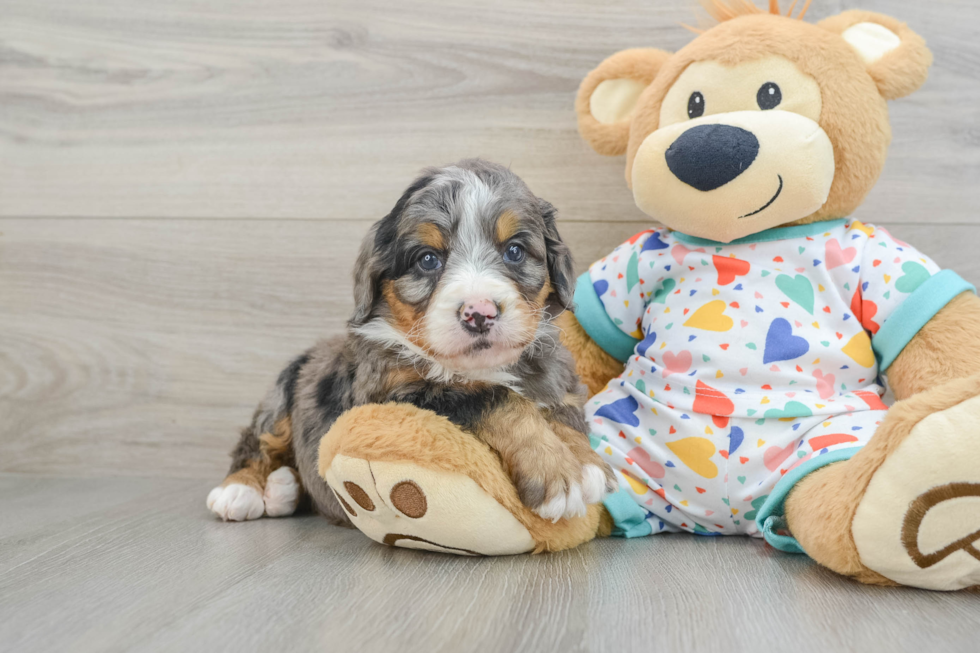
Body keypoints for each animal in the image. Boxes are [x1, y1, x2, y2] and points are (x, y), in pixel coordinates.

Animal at [209, 160, 612, 528]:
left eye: (514, 251)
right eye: (428, 259)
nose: (479, 312)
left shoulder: (557, 373)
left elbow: (563, 410)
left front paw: (588, 464)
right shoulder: (395, 395)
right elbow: (497, 398)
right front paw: (556, 473)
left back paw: (283, 489)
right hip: (281, 394)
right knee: (256, 443)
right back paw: (240, 490)